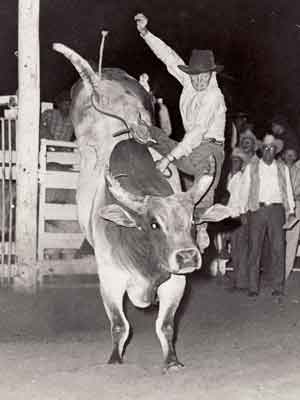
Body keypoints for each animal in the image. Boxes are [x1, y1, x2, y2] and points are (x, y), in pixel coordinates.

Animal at [52, 41, 233, 372]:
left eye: (191, 222)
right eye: (153, 223)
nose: (188, 257)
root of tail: (106, 72)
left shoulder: (176, 281)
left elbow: (166, 325)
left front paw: (172, 361)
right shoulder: (110, 278)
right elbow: (119, 324)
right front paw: (115, 358)